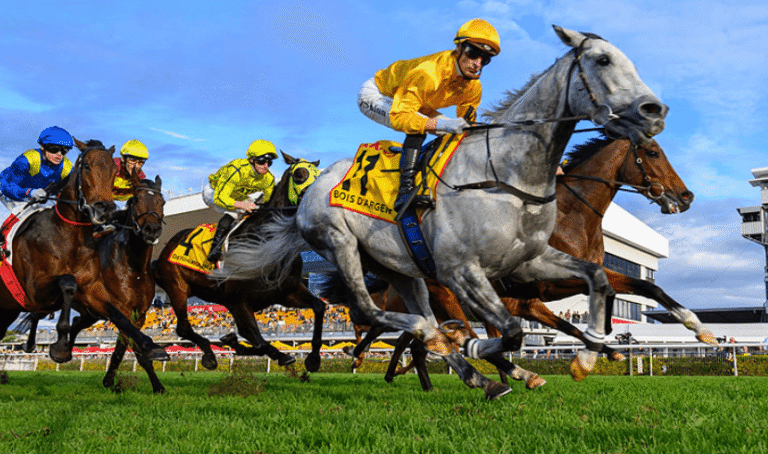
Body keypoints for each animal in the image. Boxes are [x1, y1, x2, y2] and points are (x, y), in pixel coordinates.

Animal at [152, 152, 326, 373]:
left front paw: (313, 359)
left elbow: (319, 306)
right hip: (177, 287)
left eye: (319, 175)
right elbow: (257, 341)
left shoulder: (287, 292)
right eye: (300, 174)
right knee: (183, 327)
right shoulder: (238, 301)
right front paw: (282, 356)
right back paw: (209, 356)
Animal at [220, 26, 668, 399]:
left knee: (414, 318)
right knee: (376, 312)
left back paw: (476, 374)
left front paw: (588, 354)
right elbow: (510, 332)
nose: (655, 110)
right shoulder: (462, 271)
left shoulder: (529, 261)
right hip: (340, 242)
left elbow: (597, 280)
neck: (504, 176)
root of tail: (309, 190)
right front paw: (483, 348)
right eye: (603, 60)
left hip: (400, 269)